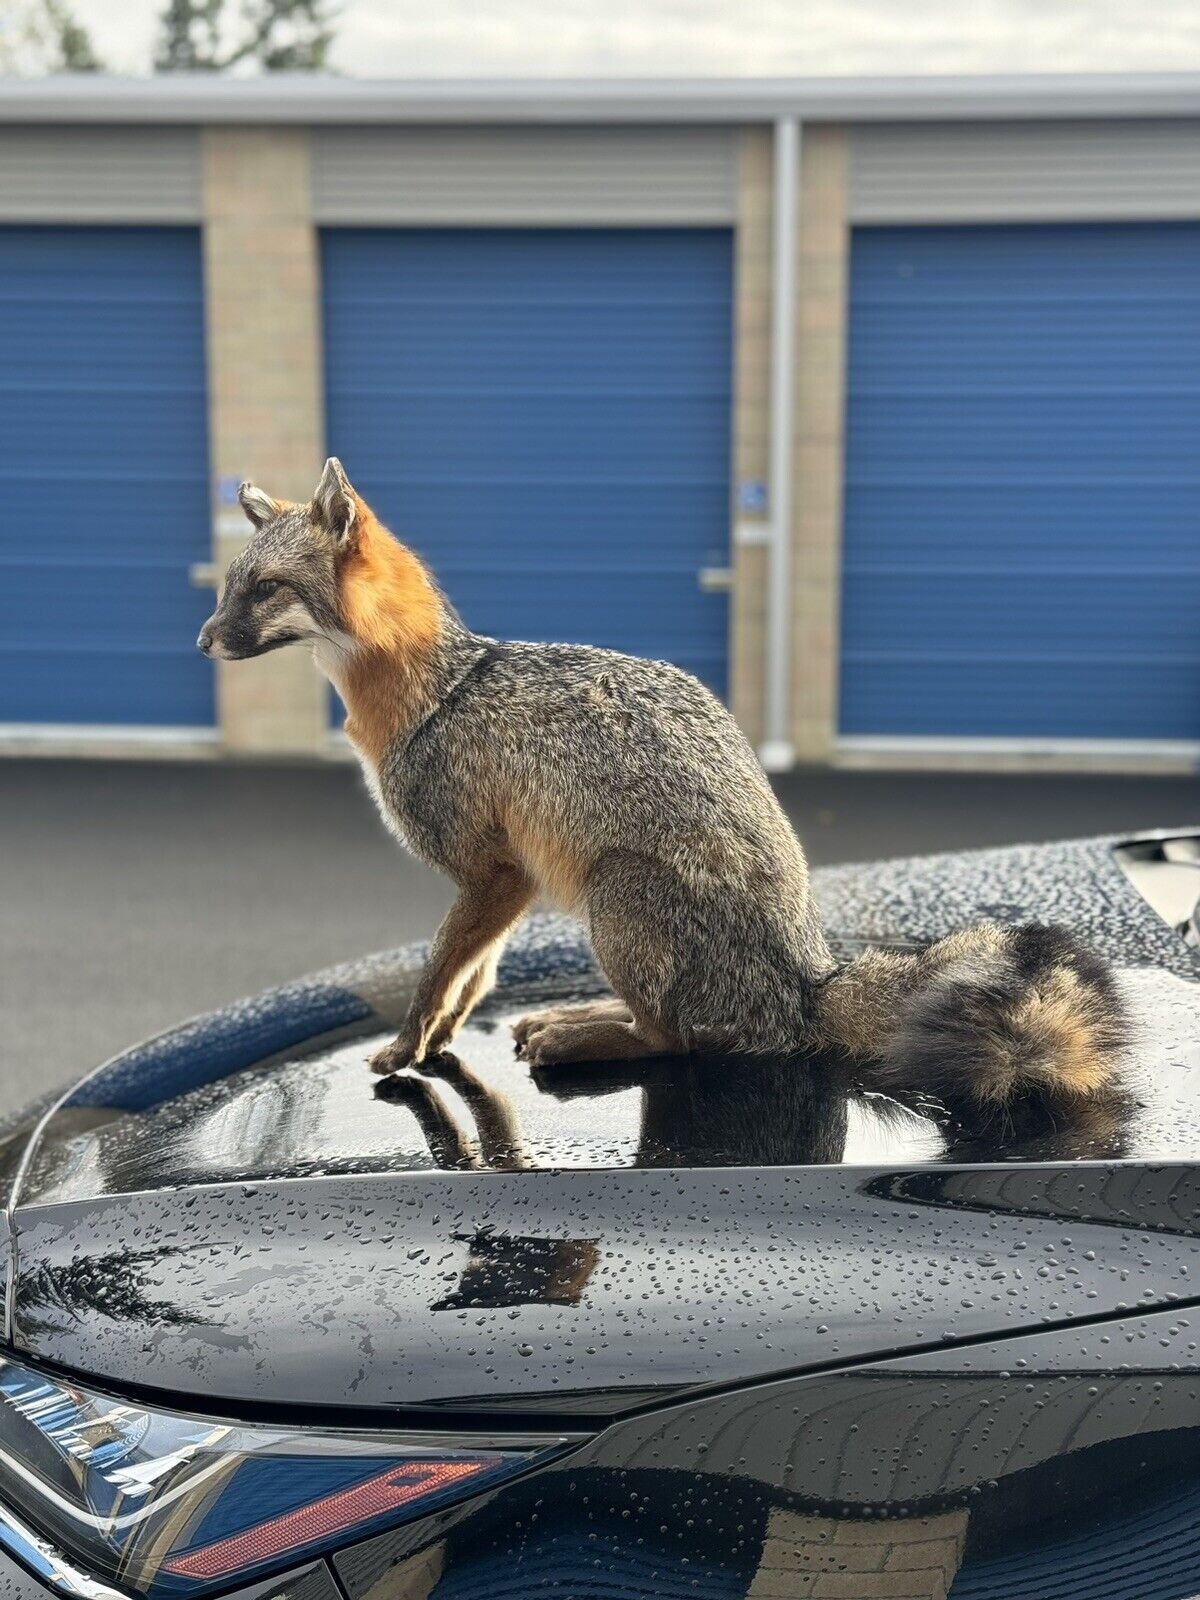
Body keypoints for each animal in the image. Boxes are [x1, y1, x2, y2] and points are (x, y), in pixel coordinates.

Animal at [197, 464, 1126, 1113]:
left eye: (265, 589)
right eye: (229, 585)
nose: (203, 639)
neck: (442, 689)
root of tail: (807, 982)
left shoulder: (491, 872)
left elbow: (437, 974)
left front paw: (404, 1050)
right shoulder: (509, 878)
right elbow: (473, 975)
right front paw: (445, 1037)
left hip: (615, 892)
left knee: (672, 1039)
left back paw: (582, 1035)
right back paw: (576, 1016)